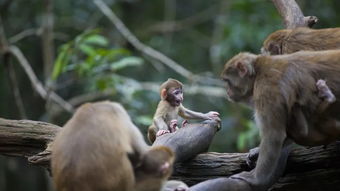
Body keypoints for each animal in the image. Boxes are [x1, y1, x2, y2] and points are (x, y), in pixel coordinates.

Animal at [218, 50, 340, 190]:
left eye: (227, 81)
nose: (227, 91)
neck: (258, 72)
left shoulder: (266, 89)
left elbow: (274, 135)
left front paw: (255, 179)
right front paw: (256, 152)